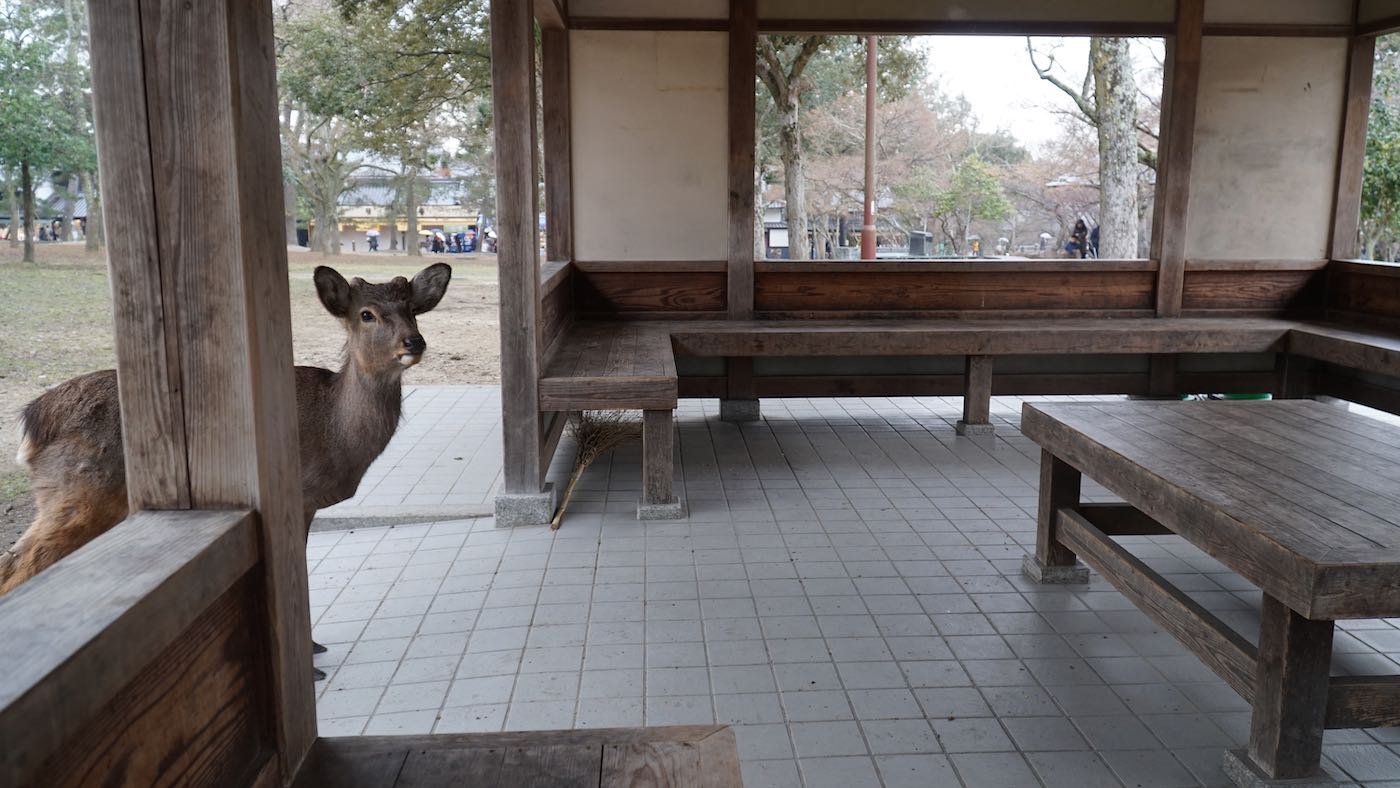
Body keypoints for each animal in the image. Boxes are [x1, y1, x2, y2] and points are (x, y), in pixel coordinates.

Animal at [0, 261, 448, 618]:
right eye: (366, 314)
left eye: (412, 310)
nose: (414, 341)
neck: (335, 430)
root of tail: (31, 419)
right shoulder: (299, 494)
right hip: (79, 493)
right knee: (23, 565)